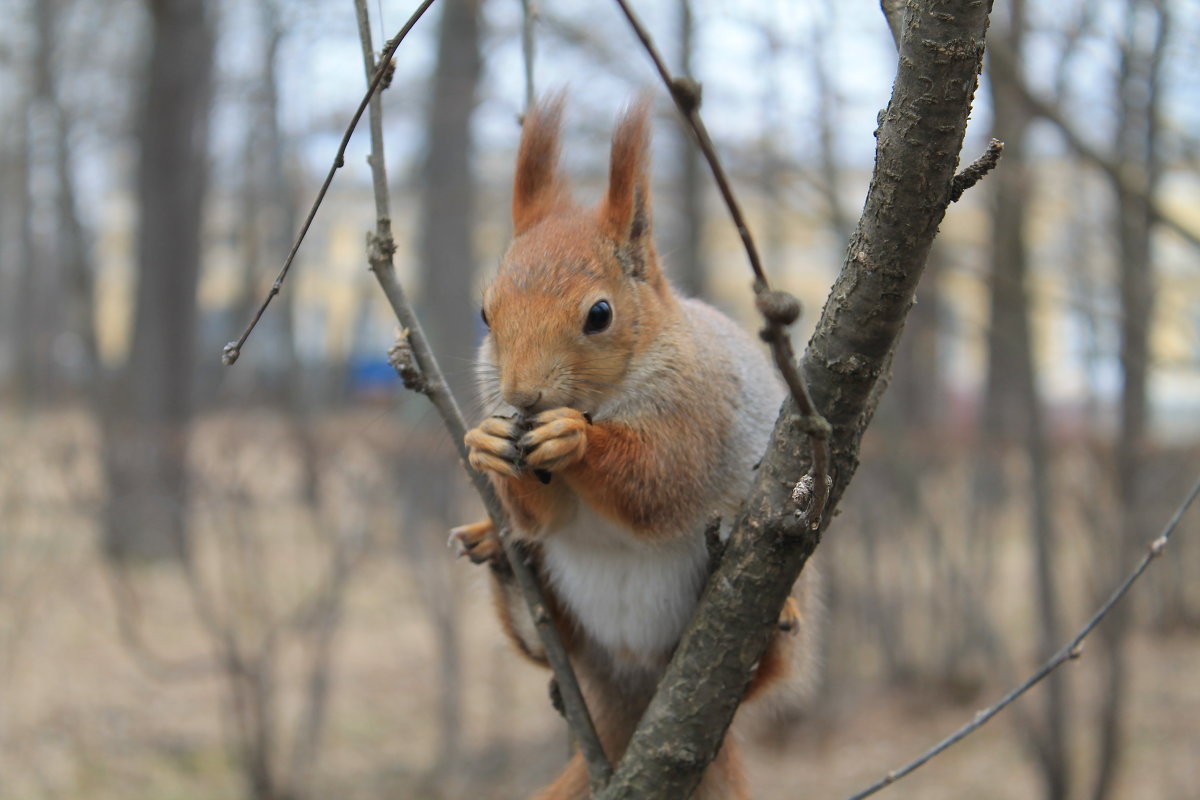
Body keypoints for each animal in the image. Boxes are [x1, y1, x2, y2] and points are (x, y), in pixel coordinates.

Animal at [451, 97, 816, 796]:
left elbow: (657, 483)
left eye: (600, 315)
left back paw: (779, 616)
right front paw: (484, 440)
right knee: (542, 637)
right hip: (566, 636)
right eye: (485, 313)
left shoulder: (698, 411)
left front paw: (574, 439)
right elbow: (545, 516)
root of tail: (636, 691)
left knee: (768, 672)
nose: (523, 395)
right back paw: (500, 554)